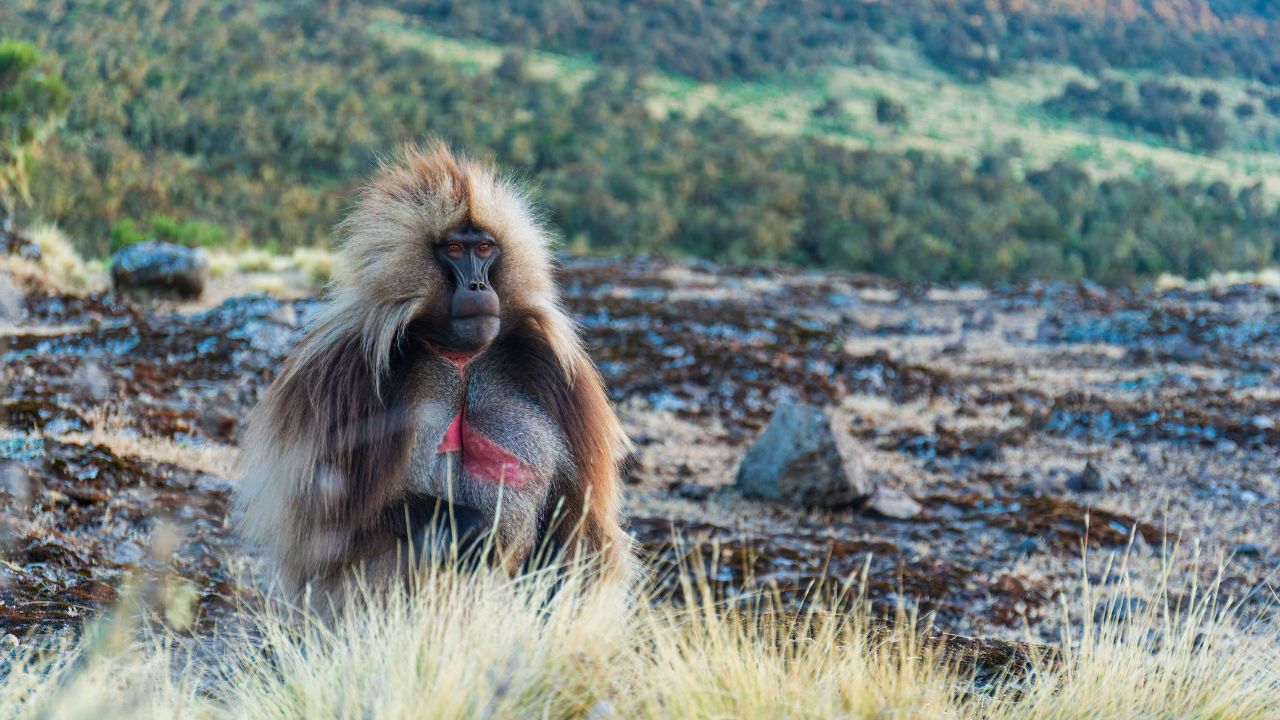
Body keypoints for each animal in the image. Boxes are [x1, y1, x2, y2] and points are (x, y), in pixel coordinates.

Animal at [234, 141, 634, 599]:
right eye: (455, 250)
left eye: (485, 249)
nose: (478, 286)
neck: (460, 361)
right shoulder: (340, 373)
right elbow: (321, 526)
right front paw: (470, 524)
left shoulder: (556, 373)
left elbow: (581, 527)